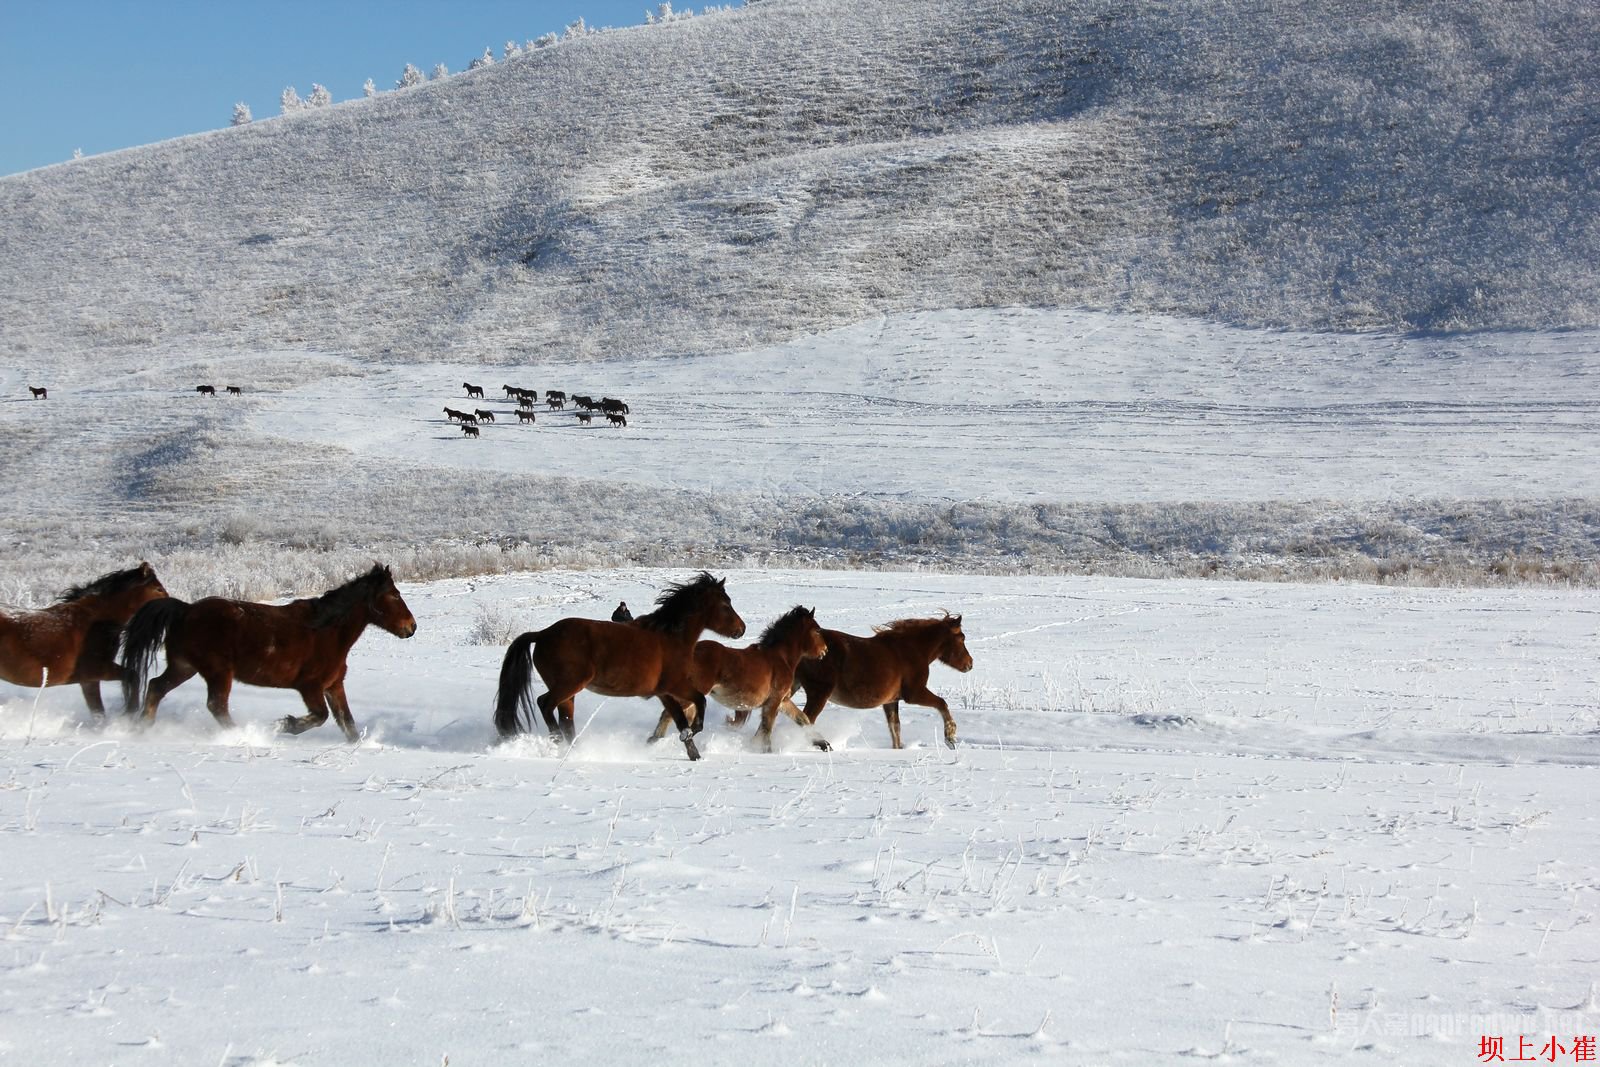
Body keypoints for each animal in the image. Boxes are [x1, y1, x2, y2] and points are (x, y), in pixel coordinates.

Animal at [0, 563, 167, 723]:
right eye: (158, 589)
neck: (93, 621)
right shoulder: (97, 670)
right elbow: (133, 676)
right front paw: (130, 713)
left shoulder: (88, 680)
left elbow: (98, 713)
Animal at [123, 559, 419, 742]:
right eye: (394, 595)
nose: (412, 627)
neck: (327, 631)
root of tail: (184, 610)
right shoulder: (310, 687)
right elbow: (320, 717)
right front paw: (285, 724)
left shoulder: (334, 686)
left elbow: (348, 724)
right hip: (218, 672)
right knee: (216, 705)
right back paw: (244, 735)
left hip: (184, 667)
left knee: (156, 687)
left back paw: (143, 727)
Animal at [492, 572, 742, 764]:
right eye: (725, 605)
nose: (741, 629)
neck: (670, 637)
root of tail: (542, 634)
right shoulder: (676, 685)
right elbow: (700, 702)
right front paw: (694, 732)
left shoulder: (664, 692)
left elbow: (679, 719)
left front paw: (694, 754)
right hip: (569, 684)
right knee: (544, 704)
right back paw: (558, 742)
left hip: (568, 693)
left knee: (566, 719)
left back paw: (573, 750)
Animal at [646, 607, 825, 751]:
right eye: (817, 630)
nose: (825, 650)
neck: (781, 658)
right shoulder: (774, 701)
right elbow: (767, 729)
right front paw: (766, 751)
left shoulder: (782, 701)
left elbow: (802, 719)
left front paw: (823, 744)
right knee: (667, 715)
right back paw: (654, 741)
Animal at [787, 614, 972, 755]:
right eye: (961, 638)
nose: (970, 664)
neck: (913, 650)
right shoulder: (914, 693)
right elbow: (942, 703)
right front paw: (950, 738)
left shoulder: (891, 701)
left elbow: (895, 729)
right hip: (819, 692)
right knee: (806, 719)